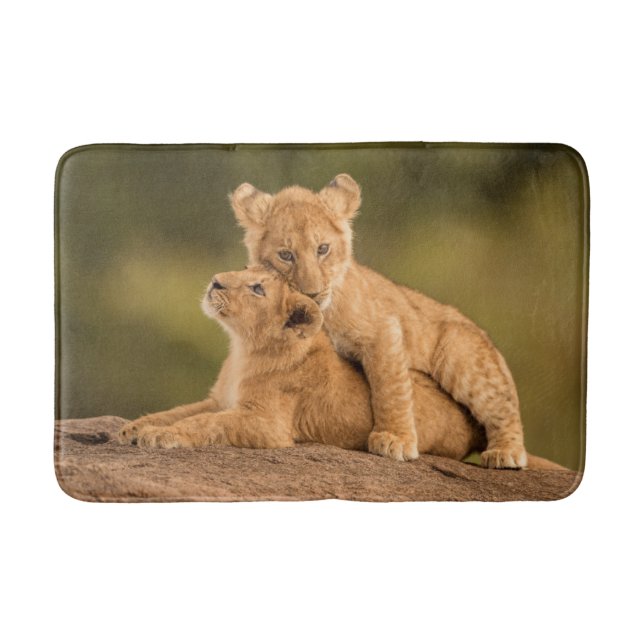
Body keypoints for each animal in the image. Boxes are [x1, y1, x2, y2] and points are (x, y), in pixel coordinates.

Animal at [118, 266, 485, 460]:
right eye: (245, 269)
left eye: (257, 289)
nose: (216, 280)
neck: (242, 349)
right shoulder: (218, 400)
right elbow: (179, 412)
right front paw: (134, 428)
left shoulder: (268, 424)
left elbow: (204, 423)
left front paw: (160, 436)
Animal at [229, 174, 528, 468]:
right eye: (285, 255)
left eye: (323, 249)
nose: (312, 293)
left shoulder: (383, 329)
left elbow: (390, 388)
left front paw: (395, 439)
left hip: (460, 352)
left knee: (503, 405)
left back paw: (506, 452)